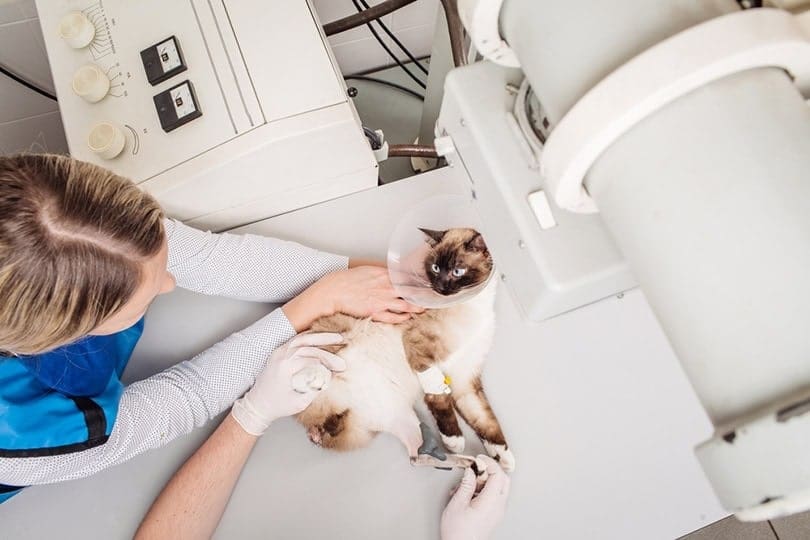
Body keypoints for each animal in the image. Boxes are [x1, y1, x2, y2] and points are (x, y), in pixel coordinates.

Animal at [294, 226, 516, 470]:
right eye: (435, 268)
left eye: (458, 271)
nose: (440, 288)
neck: (474, 306)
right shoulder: (418, 346)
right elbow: (438, 397)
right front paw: (455, 440)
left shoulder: (465, 380)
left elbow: (487, 422)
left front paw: (504, 459)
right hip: (337, 337)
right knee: (308, 367)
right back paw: (315, 377)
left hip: (399, 414)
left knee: (416, 456)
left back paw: (474, 463)